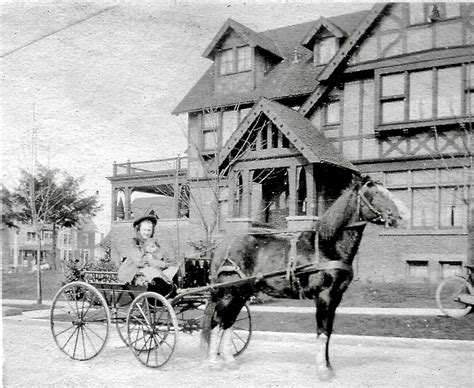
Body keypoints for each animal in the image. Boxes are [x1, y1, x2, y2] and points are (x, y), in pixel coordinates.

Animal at [200, 174, 408, 380]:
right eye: (374, 193)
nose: (402, 215)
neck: (327, 246)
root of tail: (221, 246)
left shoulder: (336, 297)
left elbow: (328, 332)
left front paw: (329, 366)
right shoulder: (324, 296)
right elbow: (322, 331)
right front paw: (323, 370)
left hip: (241, 293)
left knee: (228, 323)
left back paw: (229, 361)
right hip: (229, 293)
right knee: (217, 322)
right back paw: (213, 363)